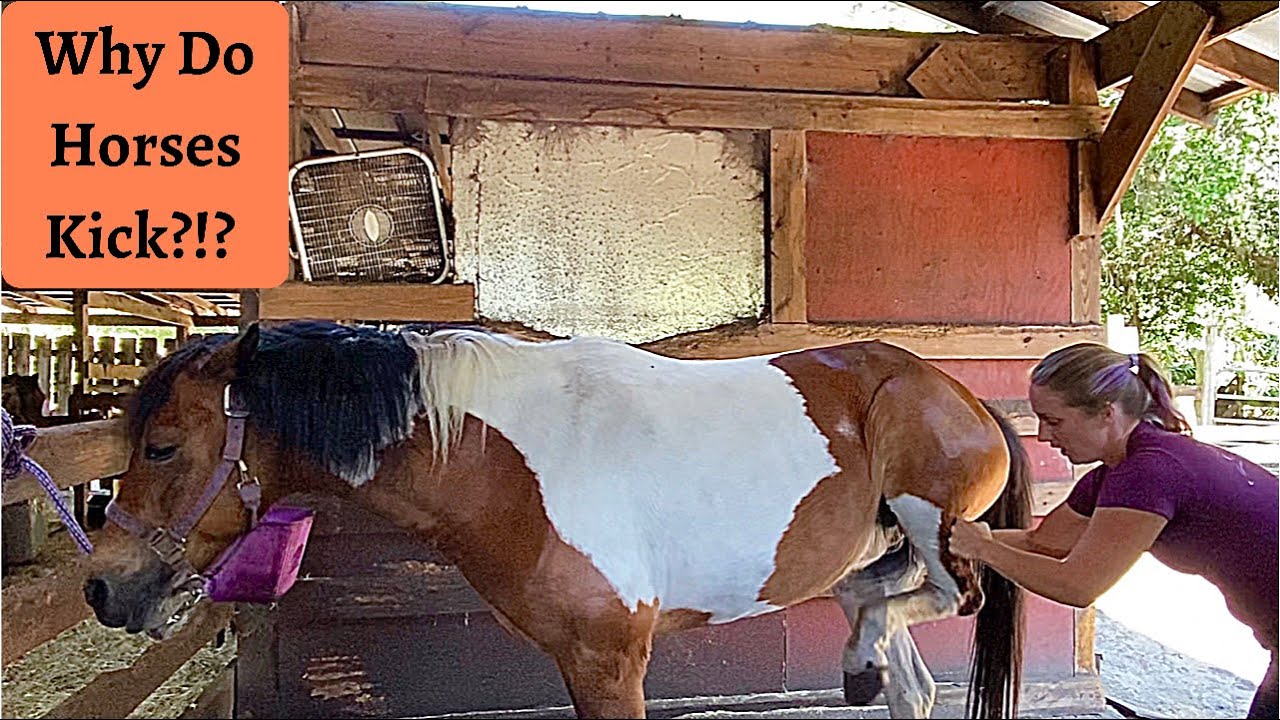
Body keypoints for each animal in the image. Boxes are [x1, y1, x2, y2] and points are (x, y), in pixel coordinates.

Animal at [83, 320, 1032, 719]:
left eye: (162, 446)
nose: (102, 588)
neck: (507, 463)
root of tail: (955, 390)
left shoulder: (609, 663)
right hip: (860, 558)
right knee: (901, 659)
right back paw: (866, 659)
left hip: (934, 522)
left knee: (953, 596)